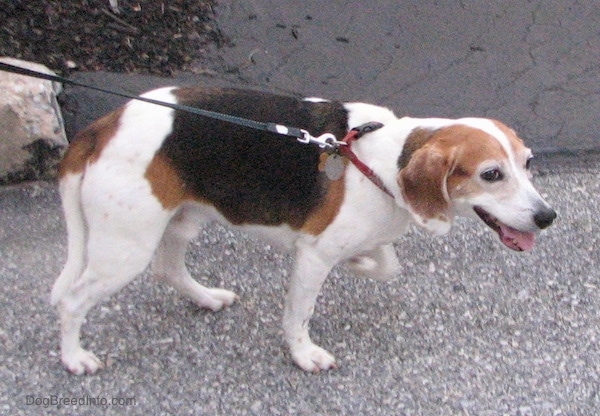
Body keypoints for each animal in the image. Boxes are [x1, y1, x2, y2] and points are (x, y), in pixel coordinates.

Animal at [51, 87, 556, 374]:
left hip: (181, 220)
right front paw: (303, 354)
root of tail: (103, 125)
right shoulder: (313, 256)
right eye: (491, 174)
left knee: (168, 269)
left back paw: (207, 298)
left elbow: (386, 265)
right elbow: (300, 314)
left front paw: (361, 263)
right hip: (125, 248)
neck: (384, 160)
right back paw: (75, 359)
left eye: (528, 163)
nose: (546, 217)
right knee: (73, 300)